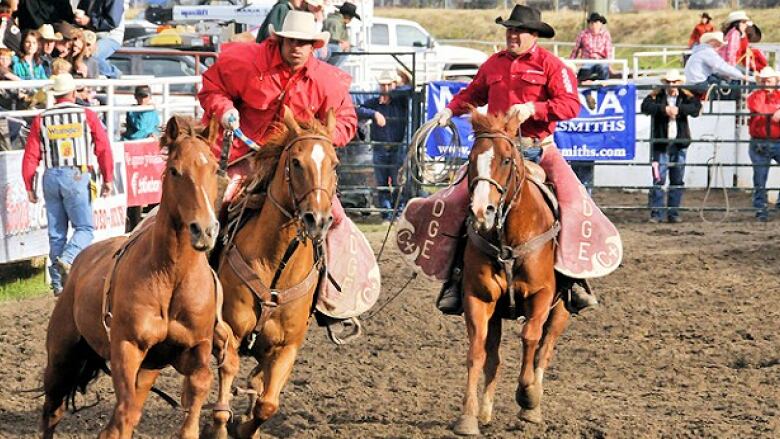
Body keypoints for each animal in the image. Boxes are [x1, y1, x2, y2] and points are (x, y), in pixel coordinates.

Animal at [209, 108, 340, 438]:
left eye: (335, 164)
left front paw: (245, 427)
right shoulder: (226, 331)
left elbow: (267, 405)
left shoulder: (286, 348)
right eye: (296, 162)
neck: (276, 267)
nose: (318, 219)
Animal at [450, 112, 572, 436]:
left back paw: (533, 406)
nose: (483, 212)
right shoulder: (478, 297)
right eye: (471, 159)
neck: (508, 237)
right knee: (494, 357)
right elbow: (477, 352)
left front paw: (527, 396)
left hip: (562, 309)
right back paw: (485, 411)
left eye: (506, 160)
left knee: (545, 347)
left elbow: (530, 338)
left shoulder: (541, 295)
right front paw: (468, 416)